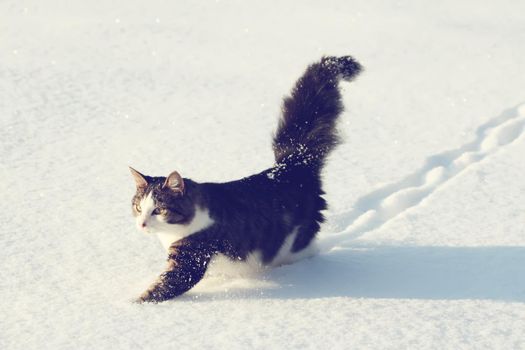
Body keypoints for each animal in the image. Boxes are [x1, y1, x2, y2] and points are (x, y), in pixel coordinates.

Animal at [129, 56, 362, 302]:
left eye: (159, 210)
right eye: (138, 207)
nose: (142, 223)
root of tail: (290, 165)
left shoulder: (192, 255)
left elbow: (163, 287)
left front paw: (132, 304)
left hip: (293, 242)